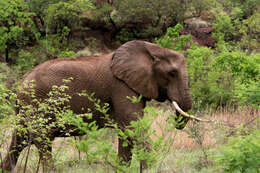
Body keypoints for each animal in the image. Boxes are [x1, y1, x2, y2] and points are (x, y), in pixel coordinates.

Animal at [1, 39, 193, 171]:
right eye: (172, 73)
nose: (176, 123)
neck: (153, 49)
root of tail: (21, 83)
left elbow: (126, 131)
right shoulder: (121, 86)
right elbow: (133, 126)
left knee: (20, 138)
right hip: (35, 102)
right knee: (42, 139)